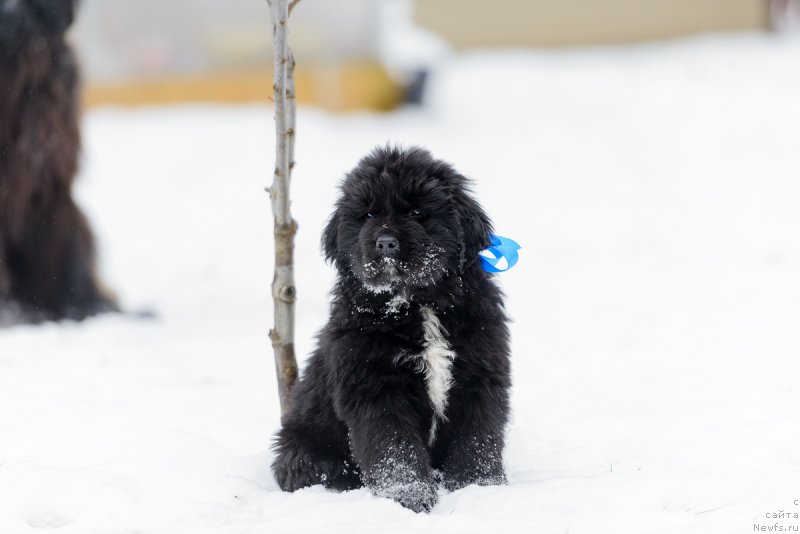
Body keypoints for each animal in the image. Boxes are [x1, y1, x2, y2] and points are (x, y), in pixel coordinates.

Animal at [274, 147, 512, 516]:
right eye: (369, 214)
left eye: (417, 212)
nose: (385, 244)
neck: (420, 306)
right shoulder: (376, 387)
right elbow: (395, 450)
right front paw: (410, 499)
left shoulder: (479, 374)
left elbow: (477, 439)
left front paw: (480, 490)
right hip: (304, 450)